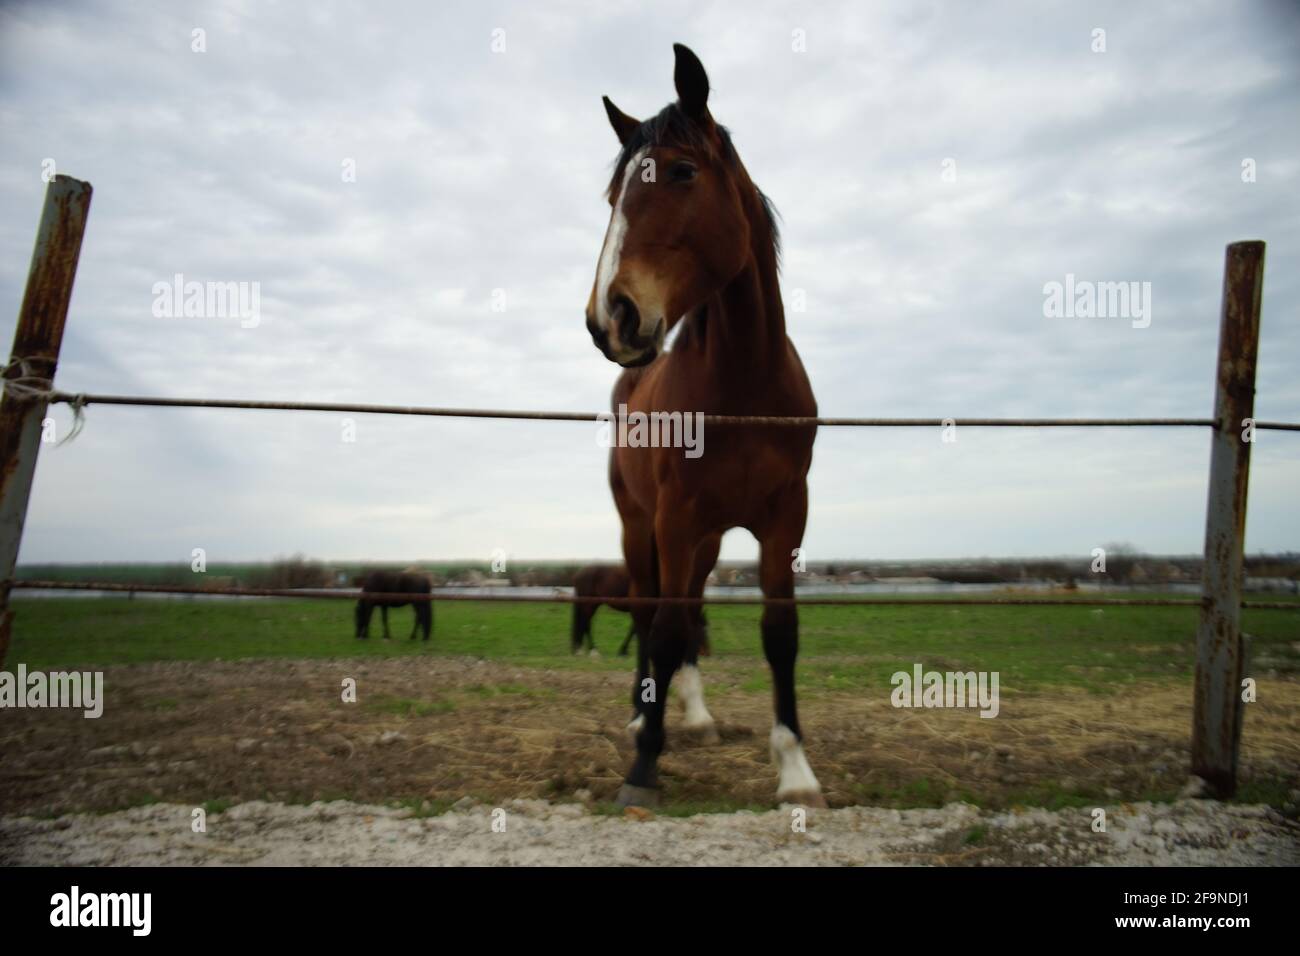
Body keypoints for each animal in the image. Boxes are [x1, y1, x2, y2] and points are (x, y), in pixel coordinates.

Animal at [584, 45, 823, 808]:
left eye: (683, 172)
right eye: (613, 199)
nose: (611, 319)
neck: (742, 388)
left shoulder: (785, 516)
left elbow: (779, 631)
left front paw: (795, 771)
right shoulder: (674, 516)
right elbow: (661, 629)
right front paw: (642, 767)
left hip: (709, 539)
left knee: (686, 608)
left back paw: (692, 713)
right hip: (642, 527)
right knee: (648, 609)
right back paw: (645, 717)